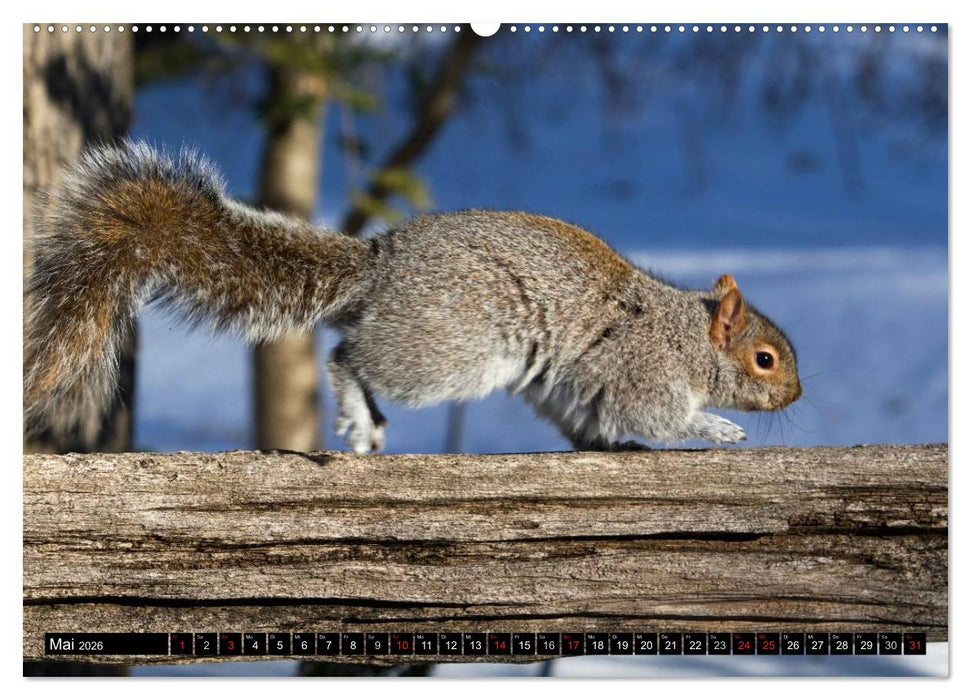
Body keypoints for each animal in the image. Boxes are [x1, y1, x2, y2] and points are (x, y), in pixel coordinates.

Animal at [24, 141, 802, 452]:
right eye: (764, 359)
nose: (796, 396)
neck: (686, 334)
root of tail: (380, 268)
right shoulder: (643, 369)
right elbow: (663, 415)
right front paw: (717, 428)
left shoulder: (578, 386)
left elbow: (592, 420)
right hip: (446, 352)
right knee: (349, 357)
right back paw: (360, 415)